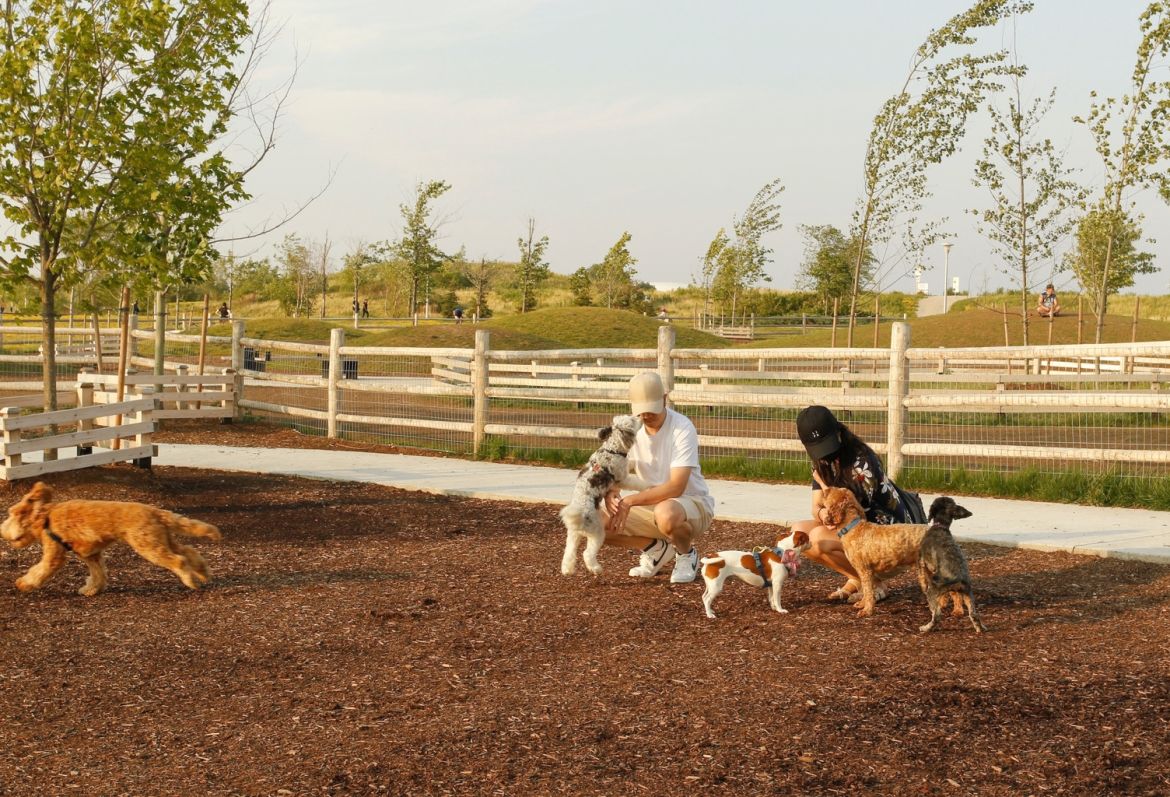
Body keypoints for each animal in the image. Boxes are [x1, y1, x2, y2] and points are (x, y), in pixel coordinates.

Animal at [1, 479, 221, 596]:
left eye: (11, 513)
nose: (2, 529)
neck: (46, 517)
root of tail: (156, 511)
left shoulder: (54, 553)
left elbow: (41, 569)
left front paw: (24, 583)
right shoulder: (92, 554)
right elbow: (99, 574)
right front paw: (91, 589)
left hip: (149, 545)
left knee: (179, 560)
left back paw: (190, 581)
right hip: (163, 540)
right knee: (189, 552)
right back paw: (203, 574)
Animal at [819, 484, 926, 613]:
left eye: (834, 490)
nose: (826, 488)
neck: (852, 527)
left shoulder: (865, 570)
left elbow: (868, 591)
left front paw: (867, 610)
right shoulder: (865, 572)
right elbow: (866, 590)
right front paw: (862, 604)